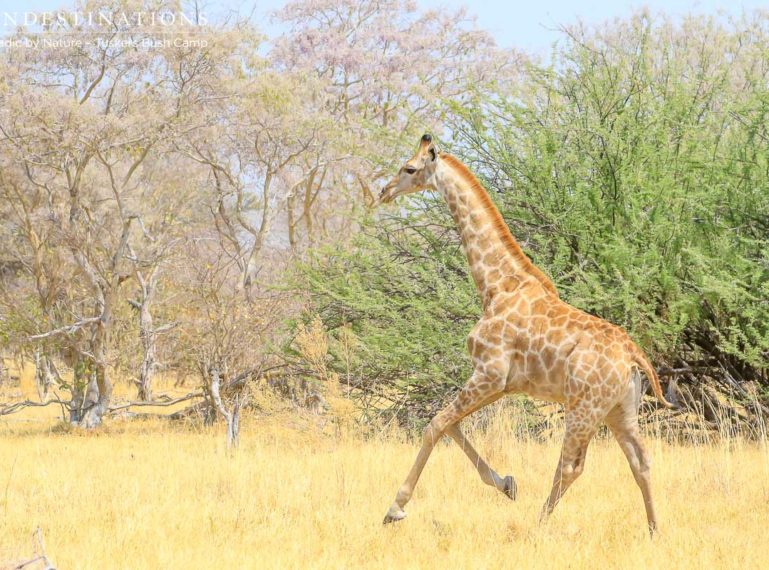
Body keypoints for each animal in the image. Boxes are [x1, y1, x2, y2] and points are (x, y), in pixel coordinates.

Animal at [376, 132, 672, 532]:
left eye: (409, 168)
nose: (384, 191)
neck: (496, 285)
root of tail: (632, 355)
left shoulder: (490, 373)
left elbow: (435, 425)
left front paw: (395, 508)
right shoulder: (503, 383)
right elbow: (450, 426)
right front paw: (507, 484)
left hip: (583, 408)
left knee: (571, 466)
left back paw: (538, 524)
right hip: (620, 410)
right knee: (640, 461)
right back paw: (655, 531)